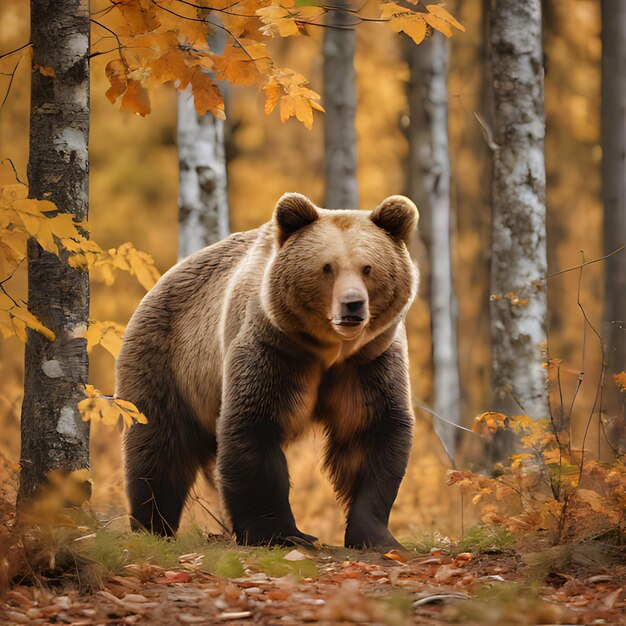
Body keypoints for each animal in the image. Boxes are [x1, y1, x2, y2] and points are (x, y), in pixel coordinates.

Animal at [117, 193, 420, 548]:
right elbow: (253, 424)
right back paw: (153, 526)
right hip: (168, 361)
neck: (330, 351)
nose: (352, 305)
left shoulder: (368, 361)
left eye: (368, 267)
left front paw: (376, 536)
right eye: (327, 267)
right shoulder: (274, 348)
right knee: (159, 443)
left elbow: (371, 432)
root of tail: (158, 283)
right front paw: (281, 534)